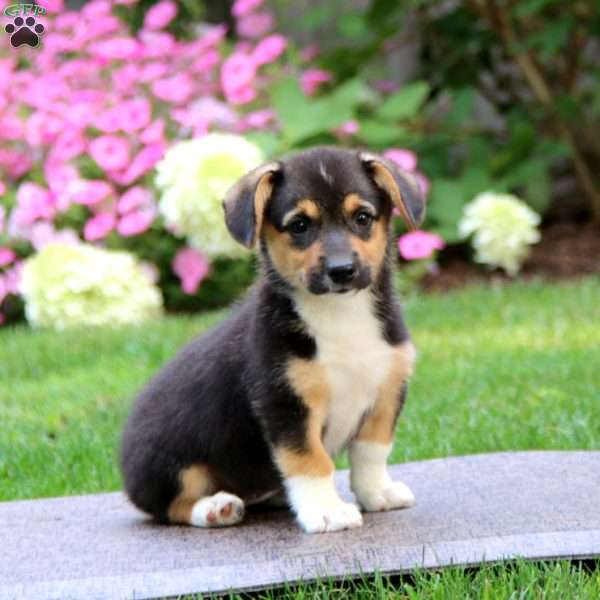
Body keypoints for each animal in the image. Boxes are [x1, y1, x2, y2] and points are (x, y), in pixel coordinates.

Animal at [119, 146, 424, 536]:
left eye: (363, 217)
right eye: (299, 225)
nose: (342, 271)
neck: (339, 314)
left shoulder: (386, 392)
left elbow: (371, 452)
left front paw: (376, 493)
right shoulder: (285, 403)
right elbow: (310, 461)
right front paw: (326, 511)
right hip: (169, 467)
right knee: (170, 505)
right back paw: (215, 508)